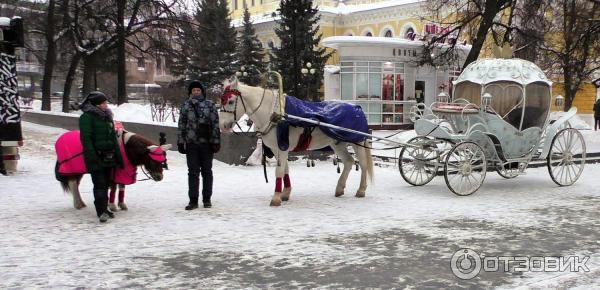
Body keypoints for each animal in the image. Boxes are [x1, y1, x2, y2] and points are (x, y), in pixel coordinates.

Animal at [218, 77, 372, 206]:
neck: (275, 114)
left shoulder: (282, 147)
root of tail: (357, 108)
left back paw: (361, 190)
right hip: (337, 143)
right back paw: (339, 188)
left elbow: (279, 171)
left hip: (357, 142)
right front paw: (285, 193)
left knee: (363, 164)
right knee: (349, 162)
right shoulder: (278, 148)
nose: (222, 126)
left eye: (230, 101)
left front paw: (276, 197)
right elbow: (285, 169)